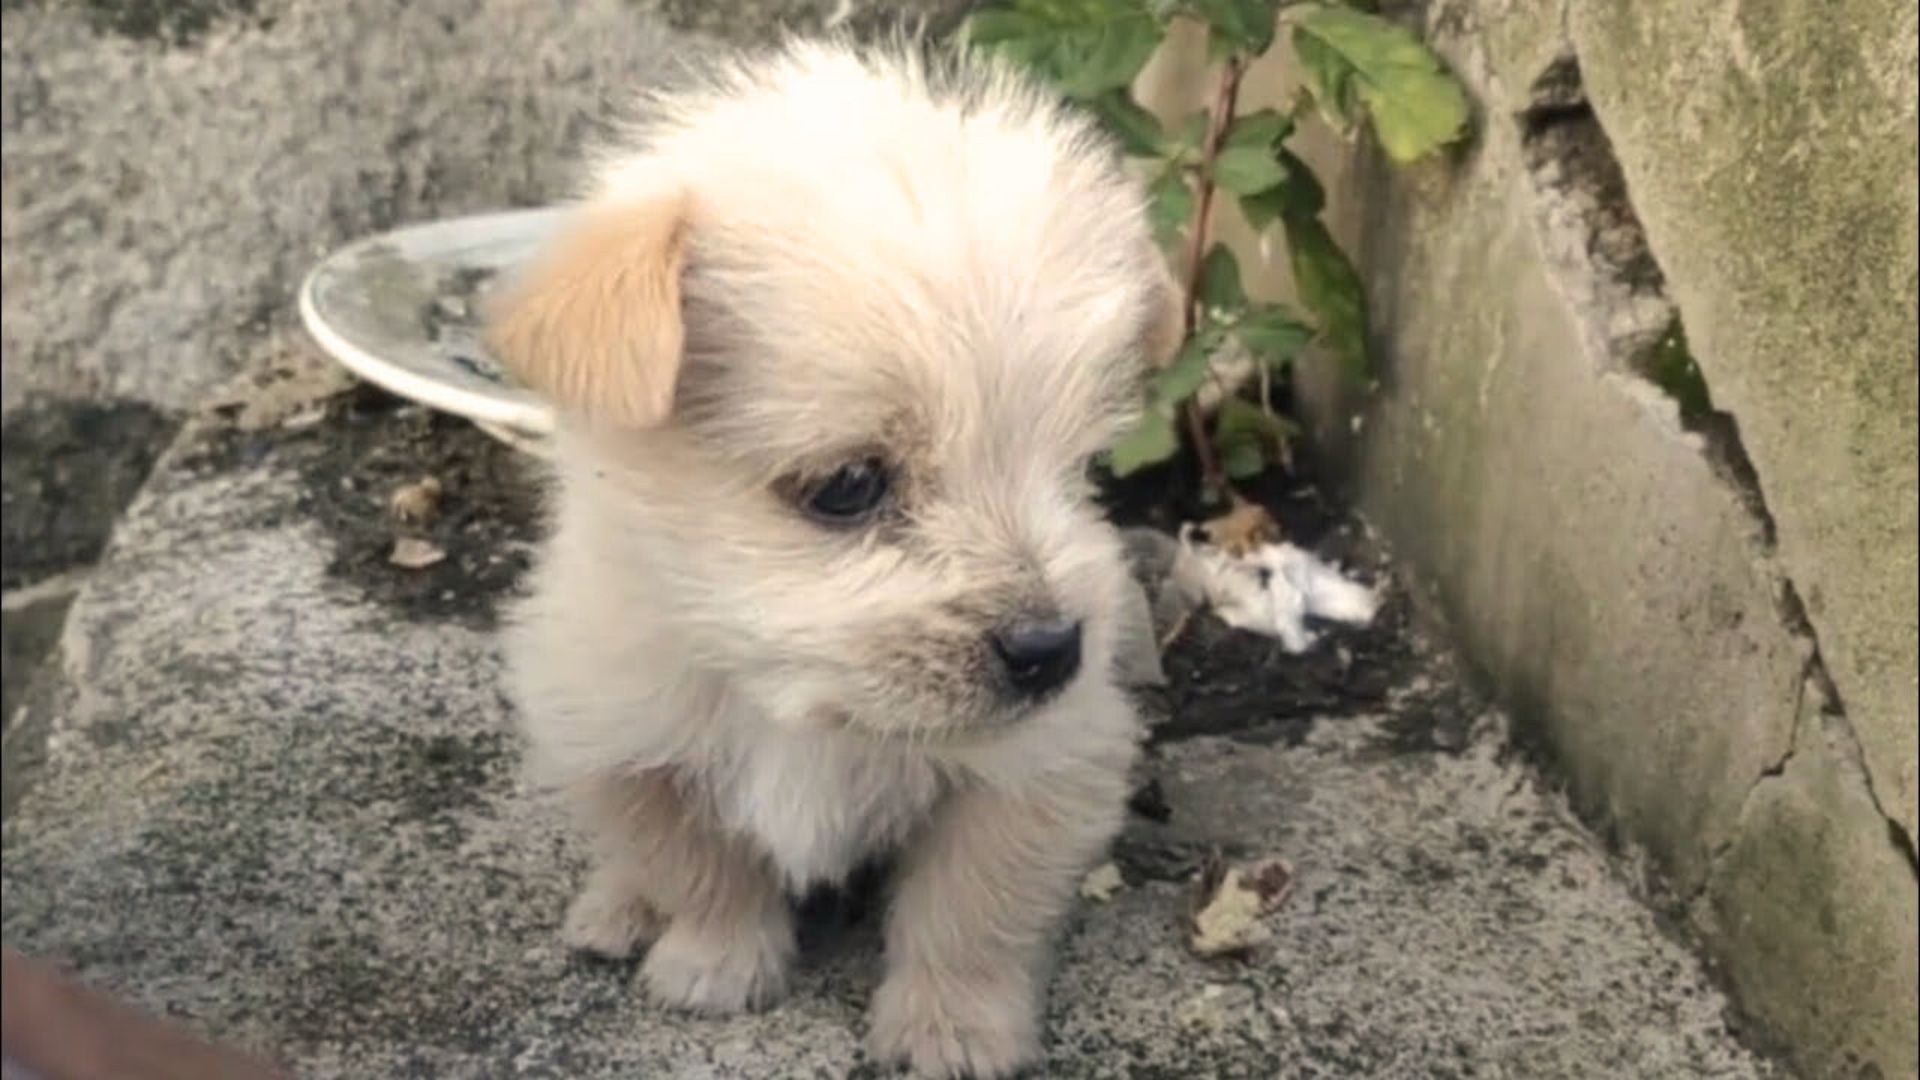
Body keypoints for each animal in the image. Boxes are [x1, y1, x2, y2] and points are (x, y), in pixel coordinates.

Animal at [491, 37, 1182, 1068]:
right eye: (850, 484)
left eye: (1079, 465)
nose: (1055, 651)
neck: (799, 708)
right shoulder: (628, 747)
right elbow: (699, 865)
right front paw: (716, 963)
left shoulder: (1035, 767)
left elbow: (970, 910)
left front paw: (950, 1026)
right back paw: (616, 910)